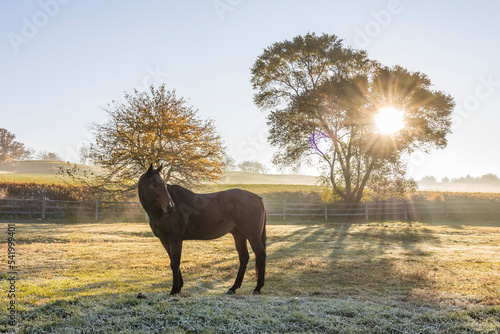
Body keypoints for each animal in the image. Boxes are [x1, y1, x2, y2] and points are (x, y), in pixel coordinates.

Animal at [137, 164, 266, 294]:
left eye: (164, 184)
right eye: (154, 185)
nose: (170, 207)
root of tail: (257, 197)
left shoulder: (175, 239)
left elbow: (175, 262)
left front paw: (174, 289)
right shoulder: (164, 240)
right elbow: (173, 261)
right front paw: (179, 287)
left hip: (253, 236)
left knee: (260, 255)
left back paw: (257, 288)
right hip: (239, 235)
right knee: (244, 257)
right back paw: (233, 288)